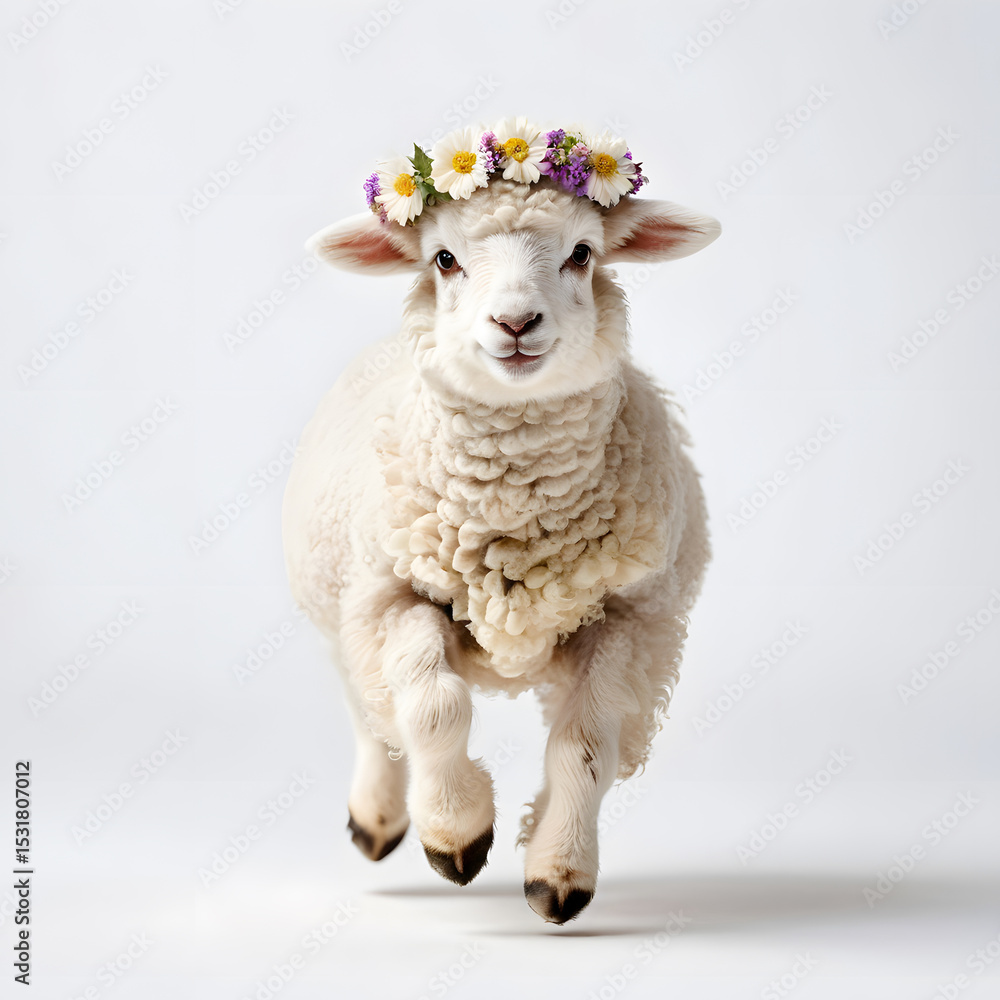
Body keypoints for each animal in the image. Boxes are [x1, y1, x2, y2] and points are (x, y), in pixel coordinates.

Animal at [282, 122, 720, 924]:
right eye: (443, 259)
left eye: (582, 253)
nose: (515, 323)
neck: (513, 513)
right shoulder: (392, 593)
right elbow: (432, 709)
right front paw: (456, 834)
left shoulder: (629, 616)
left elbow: (586, 746)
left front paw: (559, 871)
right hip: (339, 603)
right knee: (371, 712)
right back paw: (378, 818)